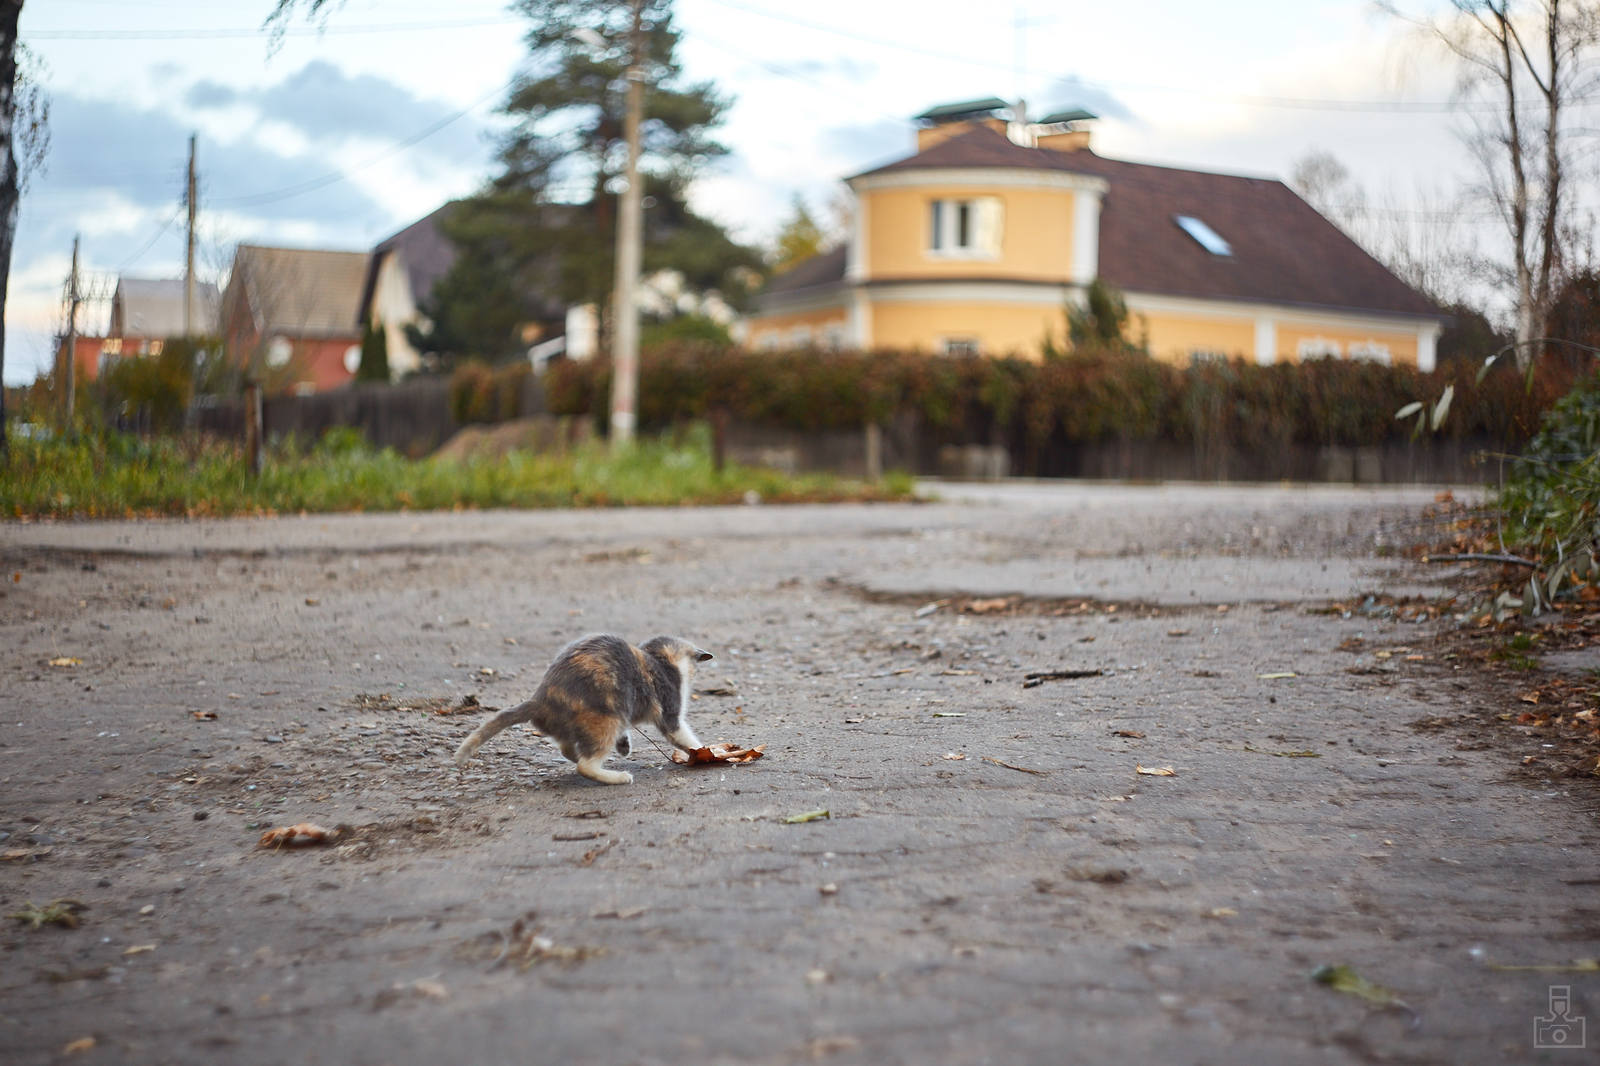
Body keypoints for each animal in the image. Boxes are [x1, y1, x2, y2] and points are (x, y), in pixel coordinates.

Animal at [457, 633, 720, 784]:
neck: (660, 659)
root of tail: (540, 700)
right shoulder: (670, 713)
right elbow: (685, 739)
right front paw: (706, 752)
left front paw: (624, 745)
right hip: (607, 720)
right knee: (585, 766)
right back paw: (617, 777)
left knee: (567, 748)